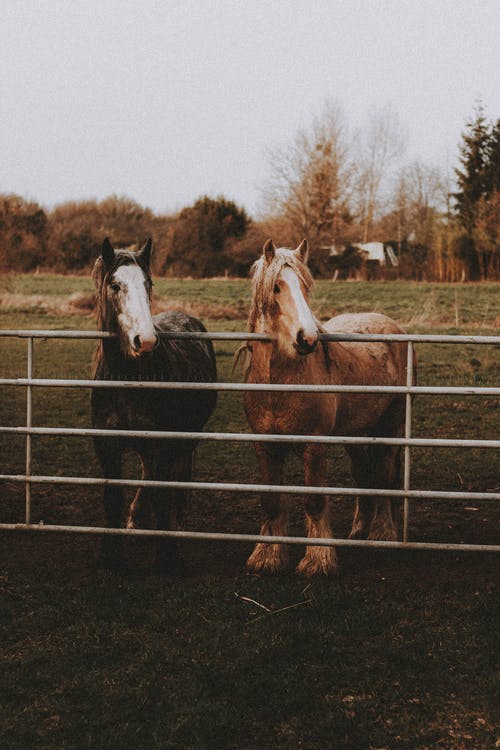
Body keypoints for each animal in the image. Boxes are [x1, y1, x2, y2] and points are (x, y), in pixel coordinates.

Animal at [91, 238, 216, 572]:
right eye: (115, 285)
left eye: (148, 284)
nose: (144, 340)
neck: (129, 380)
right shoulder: (107, 445)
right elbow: (112, 496)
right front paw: (112, 556)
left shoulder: (166, 441)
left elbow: (162, 493)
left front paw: (167, 555)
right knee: (148, 473)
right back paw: (138, 519)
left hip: (187, 438)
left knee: (176, 480)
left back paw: (176, 525)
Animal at [243, 238, 414, 580]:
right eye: (277, 287)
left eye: (306, 287)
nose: (307, 339)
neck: (279, 383)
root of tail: (393, 327)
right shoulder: (265, 445)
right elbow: (271, 501)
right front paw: (267, 556)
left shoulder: (314, 445)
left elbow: (314, 500)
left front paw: (318, 560)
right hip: (356, 433)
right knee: (364, 474)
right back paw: (359, 529)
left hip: (391, 425)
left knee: (384, 475)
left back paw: (382, 534)